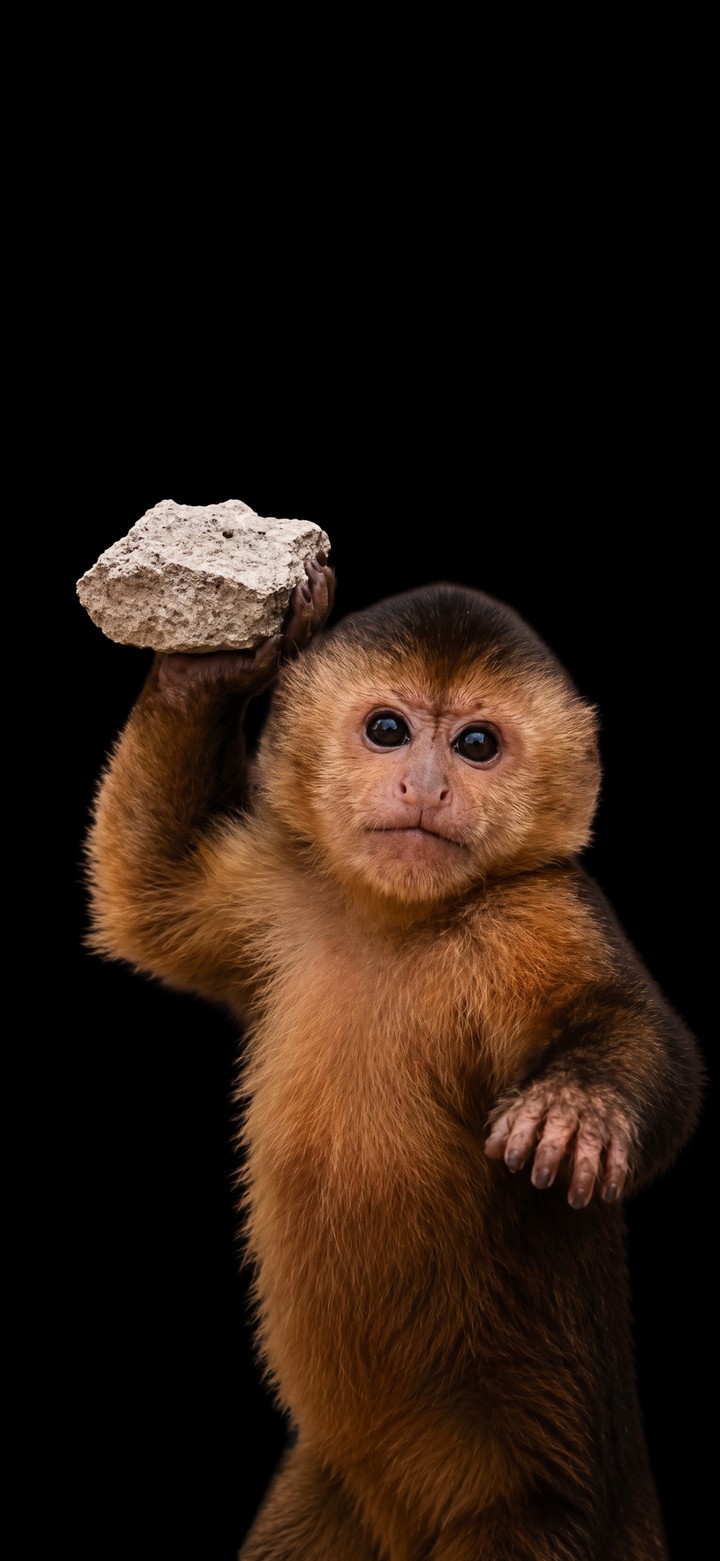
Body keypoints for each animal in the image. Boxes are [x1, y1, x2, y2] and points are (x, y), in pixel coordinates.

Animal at [84, 552, 703, 1560]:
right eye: (387, 730)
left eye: (478, 744)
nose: (425, 787)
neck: (406, 920)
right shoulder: (281, 888)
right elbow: (153, 896)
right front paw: (216, 663)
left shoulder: (544, 911)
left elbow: (633, 1030)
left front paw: (580, 1108)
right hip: (328, 1495)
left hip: (538, 1517)